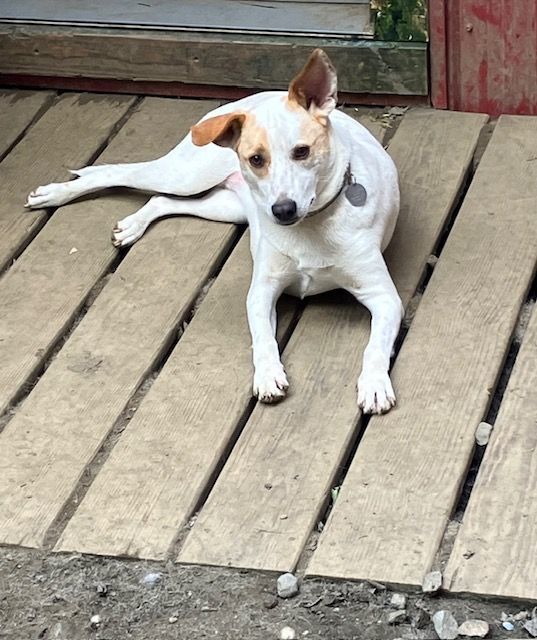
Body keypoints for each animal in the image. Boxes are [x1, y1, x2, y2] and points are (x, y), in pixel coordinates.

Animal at [26, 50, 402, 416]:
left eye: (302, 151)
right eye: (256, 159)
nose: (282, 210)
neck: (311, 228)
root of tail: (247, 99)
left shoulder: (385, 298)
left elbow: (374, 346)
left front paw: (374, 384)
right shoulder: (261, 292)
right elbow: (263, 338)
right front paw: (268, 375)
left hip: (225, 206)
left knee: (160, 200)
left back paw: (133, 225)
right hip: (184, 175)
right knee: (117, 174)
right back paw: (54, 194)